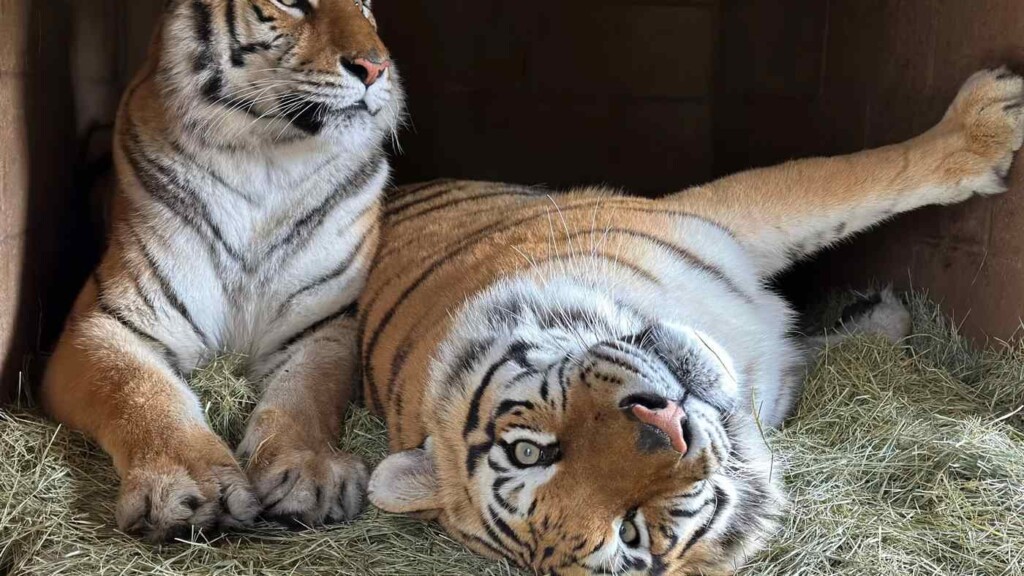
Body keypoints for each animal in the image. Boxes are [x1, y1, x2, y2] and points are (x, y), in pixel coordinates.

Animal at [44, 0, 403, 537]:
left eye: (364, 6)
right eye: (292, 2)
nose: (376, 68)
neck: (268, 161)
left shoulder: (326, 323)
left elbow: (308, 392)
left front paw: (309, 474)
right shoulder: (104, 323)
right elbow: (141, 392)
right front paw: (190, 486)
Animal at [362, 68, 1024, 573]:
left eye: (529, 451)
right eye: (630, 532)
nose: (665, 427)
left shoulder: (721, 216)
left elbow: (850, 177)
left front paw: (988, 119)